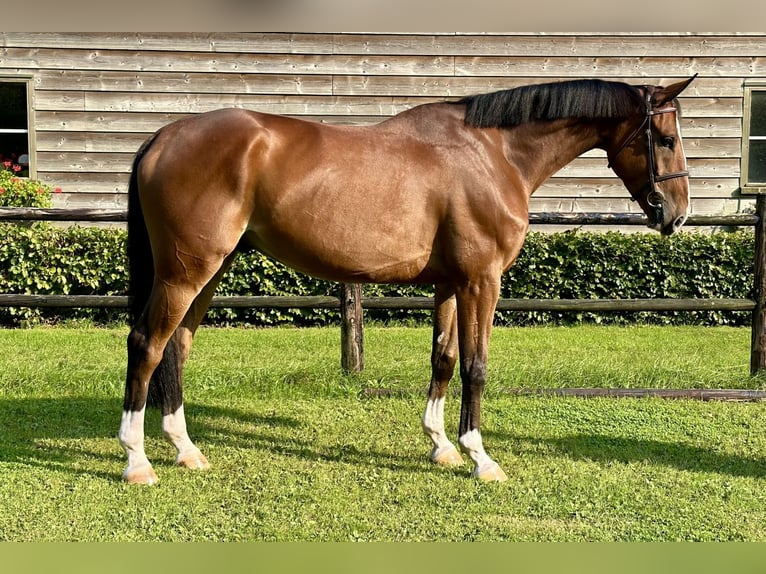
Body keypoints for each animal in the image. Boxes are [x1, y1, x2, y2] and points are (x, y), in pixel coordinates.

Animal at [118, 76, 696, 486]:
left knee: (176, 347)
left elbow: (443, 359)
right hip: (187, 271)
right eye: (665, 139)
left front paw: (441, 446)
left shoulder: (450, 283)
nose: (677, 215)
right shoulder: (481, 281)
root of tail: (165, 136)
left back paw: (186, 450)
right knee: (147, 344)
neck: (494, 154)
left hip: (209, 270)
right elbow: (476, 367)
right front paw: (481, 457)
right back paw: (137, 460)